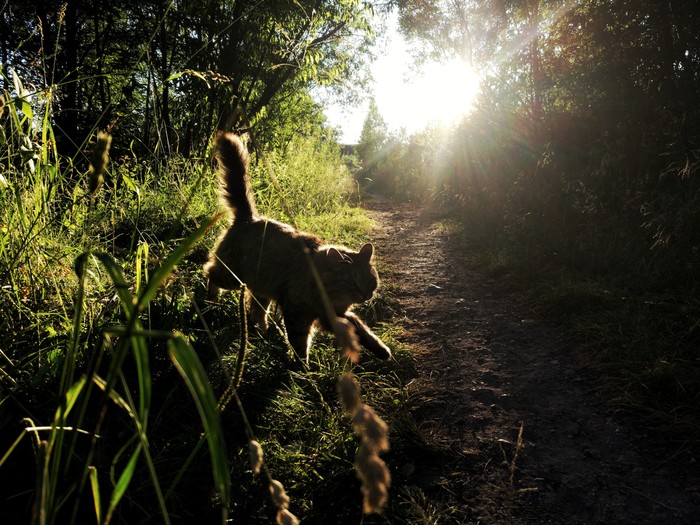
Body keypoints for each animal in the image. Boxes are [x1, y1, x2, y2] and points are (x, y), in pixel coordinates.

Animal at [204, 132, 394, 360]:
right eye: (352, 281)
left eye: (370, 280)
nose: (366, 294)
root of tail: (249, 218)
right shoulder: (298, 313)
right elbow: (300, 342)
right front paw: (302, 366)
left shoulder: (335, 315)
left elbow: (361, 329)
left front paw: (381, 350)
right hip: (232, 276)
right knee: (209, 271)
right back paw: (210, 300)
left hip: (261, 289)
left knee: (256, 310)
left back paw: (262, 333)